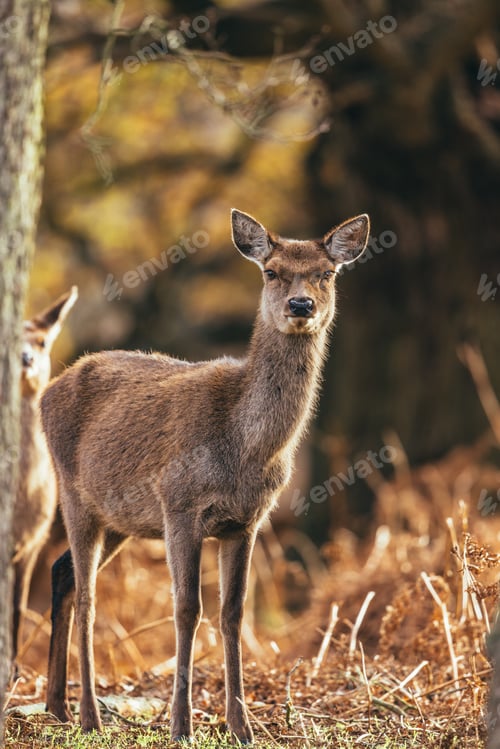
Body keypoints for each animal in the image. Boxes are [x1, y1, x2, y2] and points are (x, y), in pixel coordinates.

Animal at [41, 210, 370, 743]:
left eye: (327, 273)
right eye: (271, 271)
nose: (301, 305)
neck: (245, 450)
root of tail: (48, 390)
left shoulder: (246, 522)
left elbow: (233, 612)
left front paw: (242, 726)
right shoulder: (179, 504)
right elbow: (186, 608)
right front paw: (181, 726)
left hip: (120, 520)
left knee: (63, 572)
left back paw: (57, 707)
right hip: (74, 493)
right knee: (89, 594)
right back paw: (89, 716)